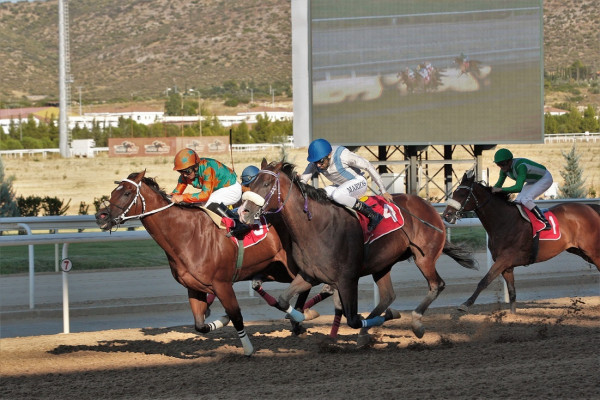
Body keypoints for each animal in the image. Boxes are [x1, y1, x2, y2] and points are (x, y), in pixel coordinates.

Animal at [95, 170, 318, 354]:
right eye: (113, 191)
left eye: (126, 193)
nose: (100, 216)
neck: (186, 235)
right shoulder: (194, 288)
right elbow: (200, 325)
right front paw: (220, 320)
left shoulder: (222, 284)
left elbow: (237, 316)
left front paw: (247, 348)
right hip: (276, 269)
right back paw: (299, 318)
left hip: (289, 267)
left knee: (308, 282)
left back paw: (301, 316)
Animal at [239, 161, 478, 340]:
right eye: (251, 184)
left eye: (267, 183)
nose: (244, 212)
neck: (316, 227)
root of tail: (430, 208)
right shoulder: (309, 275)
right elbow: (282, 300)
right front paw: (301, 318)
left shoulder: (347, 279)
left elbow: (353, 319)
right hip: (383, 264)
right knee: (388, 296)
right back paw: (368, 332)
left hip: (424, 257)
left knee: (437, 284)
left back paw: (416, 322)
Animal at [442, 170, 596, 314]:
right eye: (454, 193)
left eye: (462, 194)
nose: (446, 215)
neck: (504, 221)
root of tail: (590, 208)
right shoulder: (507, 266)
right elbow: (512, 292)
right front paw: (512, 315)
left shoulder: (505, 259)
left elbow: (485, 280)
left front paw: (465, 304)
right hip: (579, 250)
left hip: (591, 250)